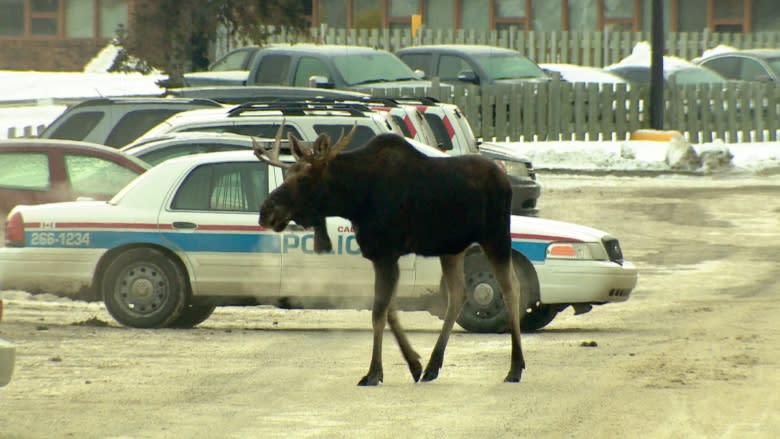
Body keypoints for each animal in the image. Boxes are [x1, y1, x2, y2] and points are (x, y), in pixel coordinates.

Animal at [256, 124, 524, 384]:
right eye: (288, 173)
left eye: (303, 177)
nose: (266, 212)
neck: (354, 200)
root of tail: (506, 181)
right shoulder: (383, 256)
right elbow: (390, 311)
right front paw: (414, 364)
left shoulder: (385, 254)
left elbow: (378, 314)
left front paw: (374, 373)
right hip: (452, 248)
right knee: (458, 294)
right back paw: (432, 366)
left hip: (496, 235)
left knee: (511, 288)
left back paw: (515, 367)